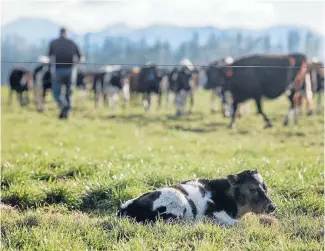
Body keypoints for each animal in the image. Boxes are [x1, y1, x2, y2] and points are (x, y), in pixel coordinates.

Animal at [117, 169, 274, 226]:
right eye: (252, 189)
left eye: (265, 187)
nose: (272, 207)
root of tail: (125, 209)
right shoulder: (215, 212)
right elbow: (239, 224)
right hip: (177, 202)